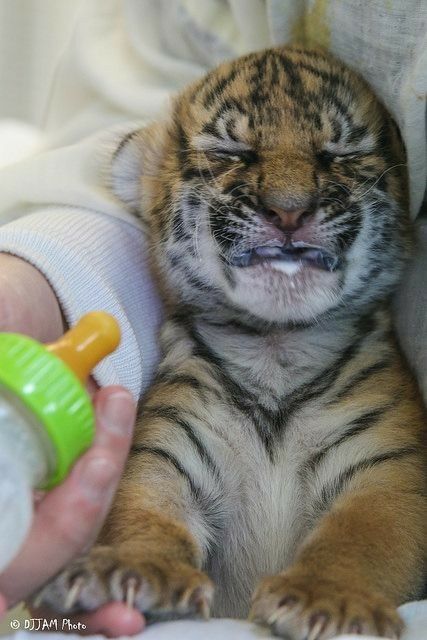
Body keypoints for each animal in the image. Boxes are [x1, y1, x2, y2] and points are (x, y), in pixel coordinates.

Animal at [37, 46, 427, 640]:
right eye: (233, 152)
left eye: (337, 152)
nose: (289, 211)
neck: (276, 349)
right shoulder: (164, 448)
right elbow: (142, 512)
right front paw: (128, 570)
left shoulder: (388, 470)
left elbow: (360, 540)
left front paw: (330, 600)